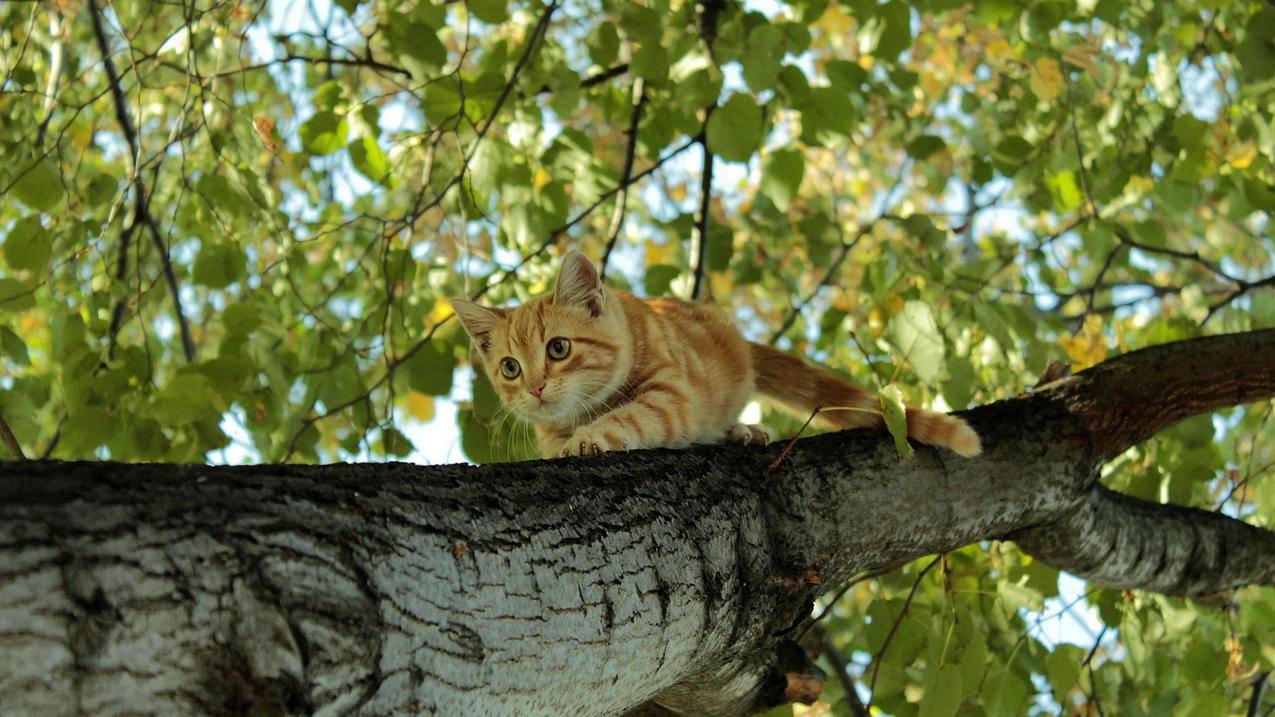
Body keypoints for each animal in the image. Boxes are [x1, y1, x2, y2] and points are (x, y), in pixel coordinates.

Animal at [453, 251, 979, 456]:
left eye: (558, 348)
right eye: (510, 368)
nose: (536, 387)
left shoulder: (672, 396)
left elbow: (629, 416)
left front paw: (587, 438)